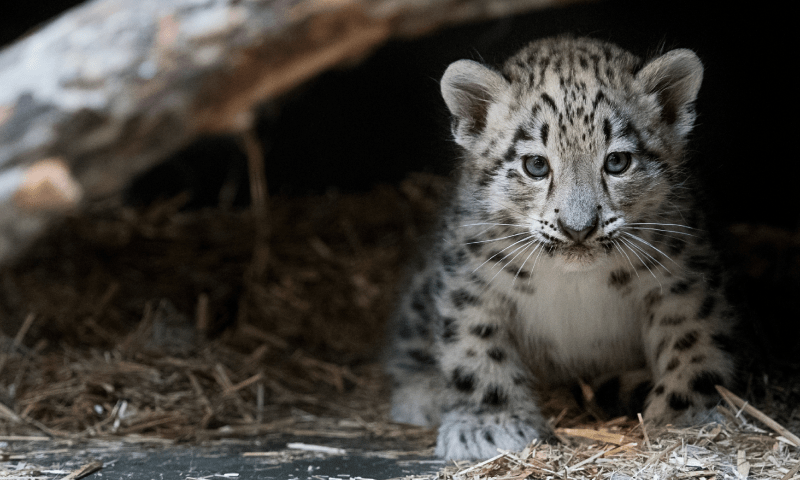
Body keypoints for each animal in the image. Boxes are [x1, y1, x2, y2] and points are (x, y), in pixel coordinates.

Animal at [384, 36, 737, 460]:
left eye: (617, 161)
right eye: (536, 165)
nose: (578, 227)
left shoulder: (682, 276)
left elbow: (692, 343)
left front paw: (681, 415)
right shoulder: (472, 279)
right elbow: (475, 347)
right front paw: (489, 426)